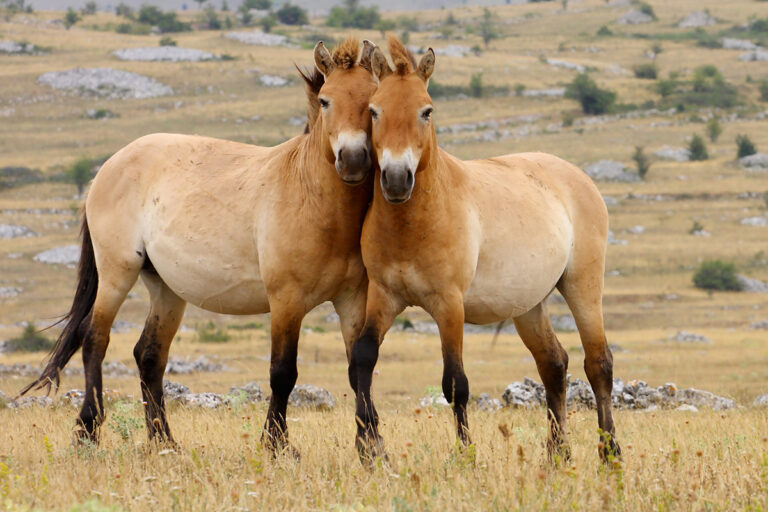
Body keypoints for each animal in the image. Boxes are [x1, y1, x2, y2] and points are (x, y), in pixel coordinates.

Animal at [21, 38, 379, 456]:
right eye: (325, 101)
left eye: (373, 102)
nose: (352, 160)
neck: (310, 196)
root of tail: (108, 167)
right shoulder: (286, 301)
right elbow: (283, 373)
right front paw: (277, 446)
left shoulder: (352, 300)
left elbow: (359, 368)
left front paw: (372, 447)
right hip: (117, 274)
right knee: (95, 339)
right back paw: (87, 432)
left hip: (166, 289)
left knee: (149, 356)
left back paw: (163, 439)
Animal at [347, 37, 620, 463]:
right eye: (374, 111)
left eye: (426, 111)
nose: (395, 179)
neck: (414, 225)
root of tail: (578, 176)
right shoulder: (384, 296)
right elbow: (363, 358)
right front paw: (367, 449)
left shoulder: (449, 306)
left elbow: (455, 383)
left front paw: (466, 455)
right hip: (529, 305)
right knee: (553, 364)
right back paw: (557, 454)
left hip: (582, 286)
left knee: (598, 364)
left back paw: (610, 453)